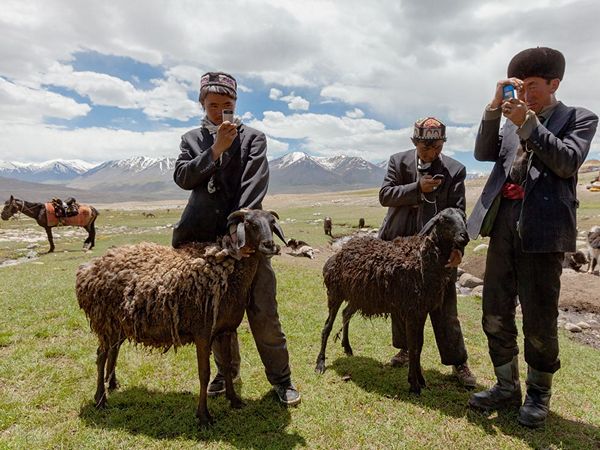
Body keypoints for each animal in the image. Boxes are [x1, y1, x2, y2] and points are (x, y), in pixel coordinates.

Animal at [75, 209, 286, 428]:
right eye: (251, 223)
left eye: (272, 223)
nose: (269, 245)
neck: (228, 271)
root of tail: (86, 269)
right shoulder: (202, 333)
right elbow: (204, 374)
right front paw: (204, 416)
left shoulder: (226, 330)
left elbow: (227, 367)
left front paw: (234, 400)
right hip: (105, 320)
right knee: (101, 355)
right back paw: (100, 399)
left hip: (119, 324)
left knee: (113, 351)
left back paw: (112, 383)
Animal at [314, 207, 468, 394]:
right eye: (444, 219)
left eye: (463, 217)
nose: (464, 237)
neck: (423, 258)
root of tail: (337, 255)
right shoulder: (412, 311)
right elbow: (413, 347)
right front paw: (414, 384)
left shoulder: (422, 310)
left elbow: (419, 345)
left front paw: (420, 379)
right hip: (335, 293)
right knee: (327, 327)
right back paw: (320, 364)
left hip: (359, 297)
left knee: (346, 314)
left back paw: (347, 347)